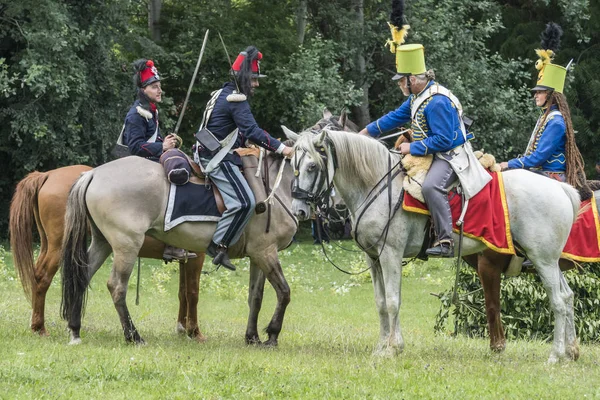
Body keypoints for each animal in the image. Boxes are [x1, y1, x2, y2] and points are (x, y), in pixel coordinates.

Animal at [7, 166, 206, 340]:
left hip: (49, 245)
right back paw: (40, 327)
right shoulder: (198, 255)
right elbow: (192, 292)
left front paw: (182, 328)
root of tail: (47, 175)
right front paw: (194, 332)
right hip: (59, 248)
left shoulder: (186, 258)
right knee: (43, 278)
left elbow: (182, 292)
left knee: (38, 276)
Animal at [286, 128, 580, 362]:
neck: (376, 185)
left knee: (557, 300)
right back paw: (570, 352)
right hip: (549, 262)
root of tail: (560, 188)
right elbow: (381, 302)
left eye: (312, 166)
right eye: (293, 165)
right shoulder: (374, 257)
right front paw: (382, 347)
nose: (299, 210)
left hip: (542, 260)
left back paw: (555, 355)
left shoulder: (390, 254)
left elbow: (392, 301)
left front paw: (393, 348)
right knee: (567, 296)